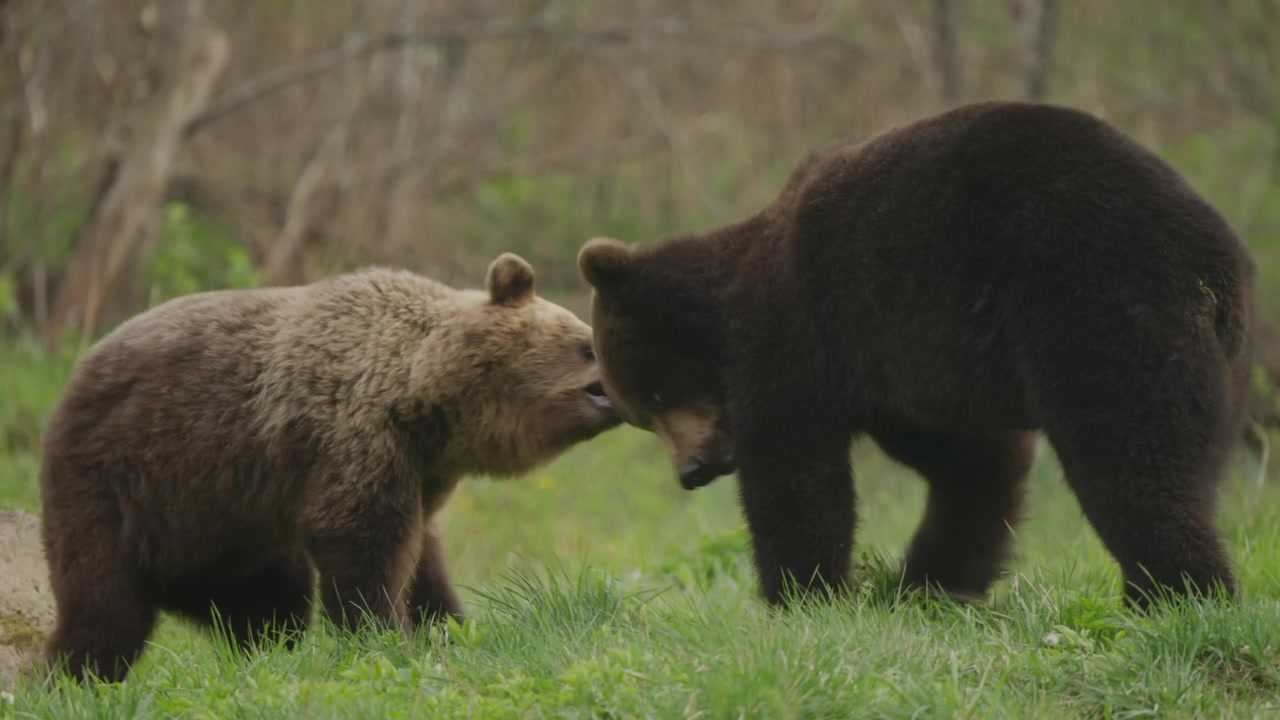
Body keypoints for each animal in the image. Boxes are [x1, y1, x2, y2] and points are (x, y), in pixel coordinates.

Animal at [38, 252, 620, 683]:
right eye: (586, 343)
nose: (618, 391)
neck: (423, 403)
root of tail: (72, 380)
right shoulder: (353, 437)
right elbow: (363, 544)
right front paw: (385, 638)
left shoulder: (420, 472)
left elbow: (421, 557)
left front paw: (448, 626)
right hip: (126, 484)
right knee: (106, 605)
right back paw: (75, 677)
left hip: (228, 532)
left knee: (269, 603)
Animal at [576, 100, 1256, 610]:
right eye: (641, 415)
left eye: (656, 394)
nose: (691, 471)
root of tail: (1212, 259)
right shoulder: (908, 370)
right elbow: (972, 463)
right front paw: (928, 580)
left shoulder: (804, 333)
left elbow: (794, 471)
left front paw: (800, 594)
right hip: (1222, 359)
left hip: (1094, 299)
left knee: (1131, 452)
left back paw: (1172, 595)